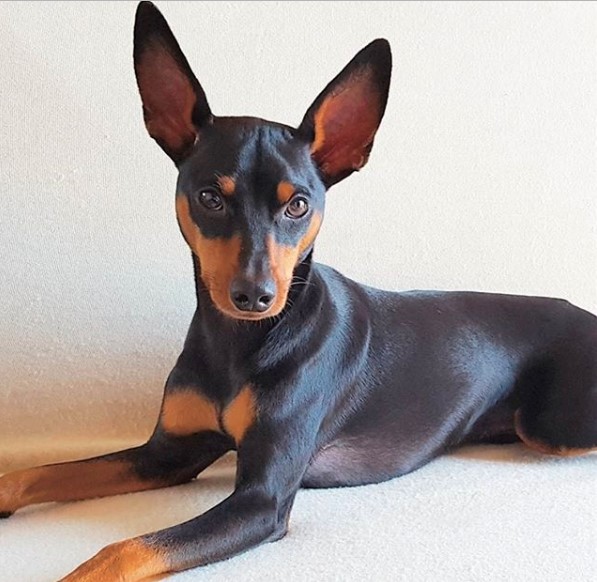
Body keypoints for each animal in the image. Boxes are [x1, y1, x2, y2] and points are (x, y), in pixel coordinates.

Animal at [1, 2, 596, 580]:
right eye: (210, 197)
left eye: (299, 205)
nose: (255, 295)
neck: (238, 343)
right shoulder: (167, 453)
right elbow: (32, 474)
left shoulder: (262, 501)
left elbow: (122, 551)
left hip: (552, 424)